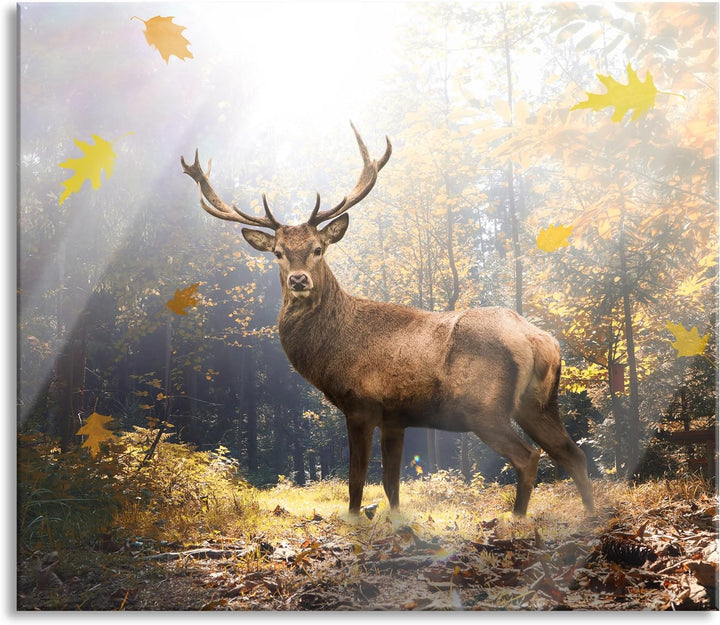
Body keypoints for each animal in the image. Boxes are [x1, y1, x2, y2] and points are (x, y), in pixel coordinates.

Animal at [180, 123, 595, 517]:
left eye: (318, 248)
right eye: (278, 252)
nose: (299, 280)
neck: (332, 350)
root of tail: (539, 339)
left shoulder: (361, 403)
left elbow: (356, 480)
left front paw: (354, 521)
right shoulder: (396, 416)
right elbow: (392, 484)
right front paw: (396, 522)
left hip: (484, 406)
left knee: (529, 457)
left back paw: (518, 519)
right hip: (538, 404)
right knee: (573, 453)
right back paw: (591, 515)